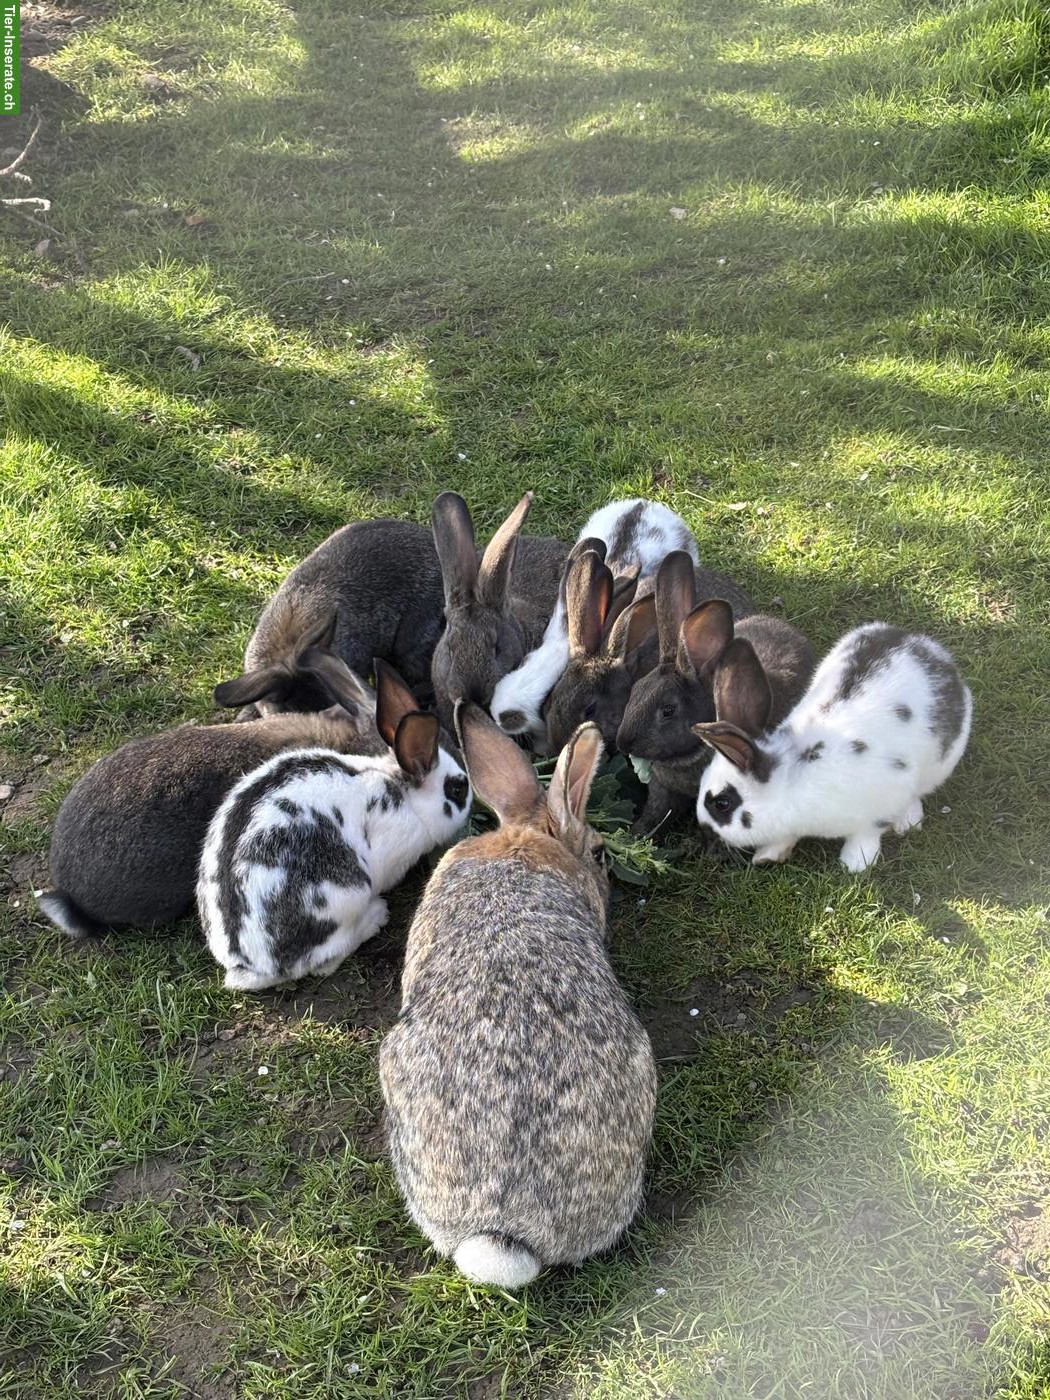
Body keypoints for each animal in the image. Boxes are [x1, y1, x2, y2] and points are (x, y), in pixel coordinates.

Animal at [197, 661, 471, 991]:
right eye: (457, 789)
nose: (473, 802)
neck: (403, 793)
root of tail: (251, 964)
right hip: (348, 895)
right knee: (324, 963)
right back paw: (375, 917)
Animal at [616, 552, 814, 836]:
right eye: (634, 691)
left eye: (668, 710)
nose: (623, 743)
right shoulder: (663, 790)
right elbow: (657, 812)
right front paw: (639, 833)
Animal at [693, 622, 973, 872]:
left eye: (722, 803)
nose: (703, 829)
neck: (792, 785)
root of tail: (924, 645)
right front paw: (768, 856)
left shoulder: (886, 797)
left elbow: (869, 831)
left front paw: (856, 862)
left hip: (941, 761)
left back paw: (908, 821)